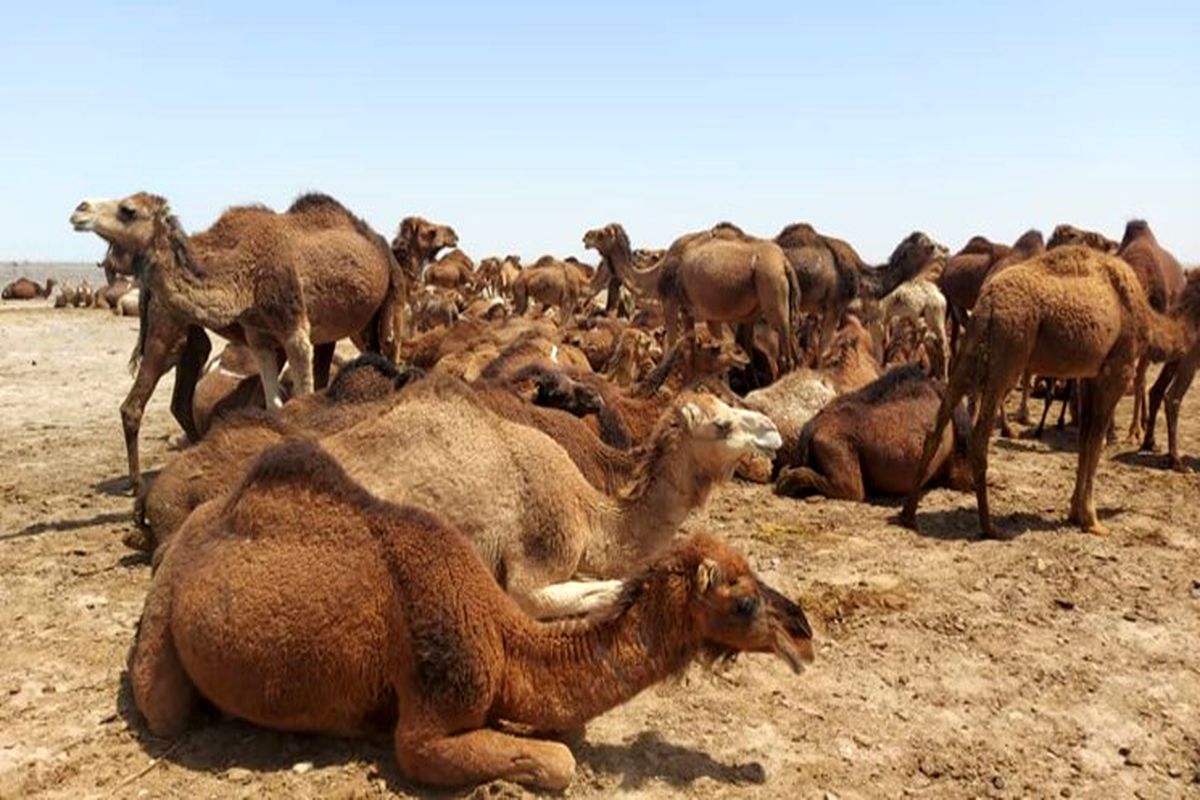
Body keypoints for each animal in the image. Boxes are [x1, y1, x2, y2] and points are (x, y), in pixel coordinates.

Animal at [126, 441, 811, 791]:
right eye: (743, 601)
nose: (803, 635)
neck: (504, 642)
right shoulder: (428, 722)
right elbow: (557, 763)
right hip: (165, 617)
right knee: (162, 706)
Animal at [580, 224, 796, 374]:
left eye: (602, 233)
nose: (586, 236)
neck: (656, 275)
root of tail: (784, 263)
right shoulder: (688, 310)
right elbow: (691, 345)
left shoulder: (670, 302)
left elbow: (671, 343)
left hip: (770, 284)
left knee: (786, 355)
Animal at [902, 244, 1200, 537]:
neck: (1146, 319)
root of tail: (989, 303)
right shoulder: (1118, 369)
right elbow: (1096, 441)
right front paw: (1092, 520)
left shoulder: (1090, 375)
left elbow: (1084, 438)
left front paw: (1075, 513)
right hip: (1009, 352)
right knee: (979, 438)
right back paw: (989, 527)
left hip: (972, 347)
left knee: (937, 426)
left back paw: (909, 515)